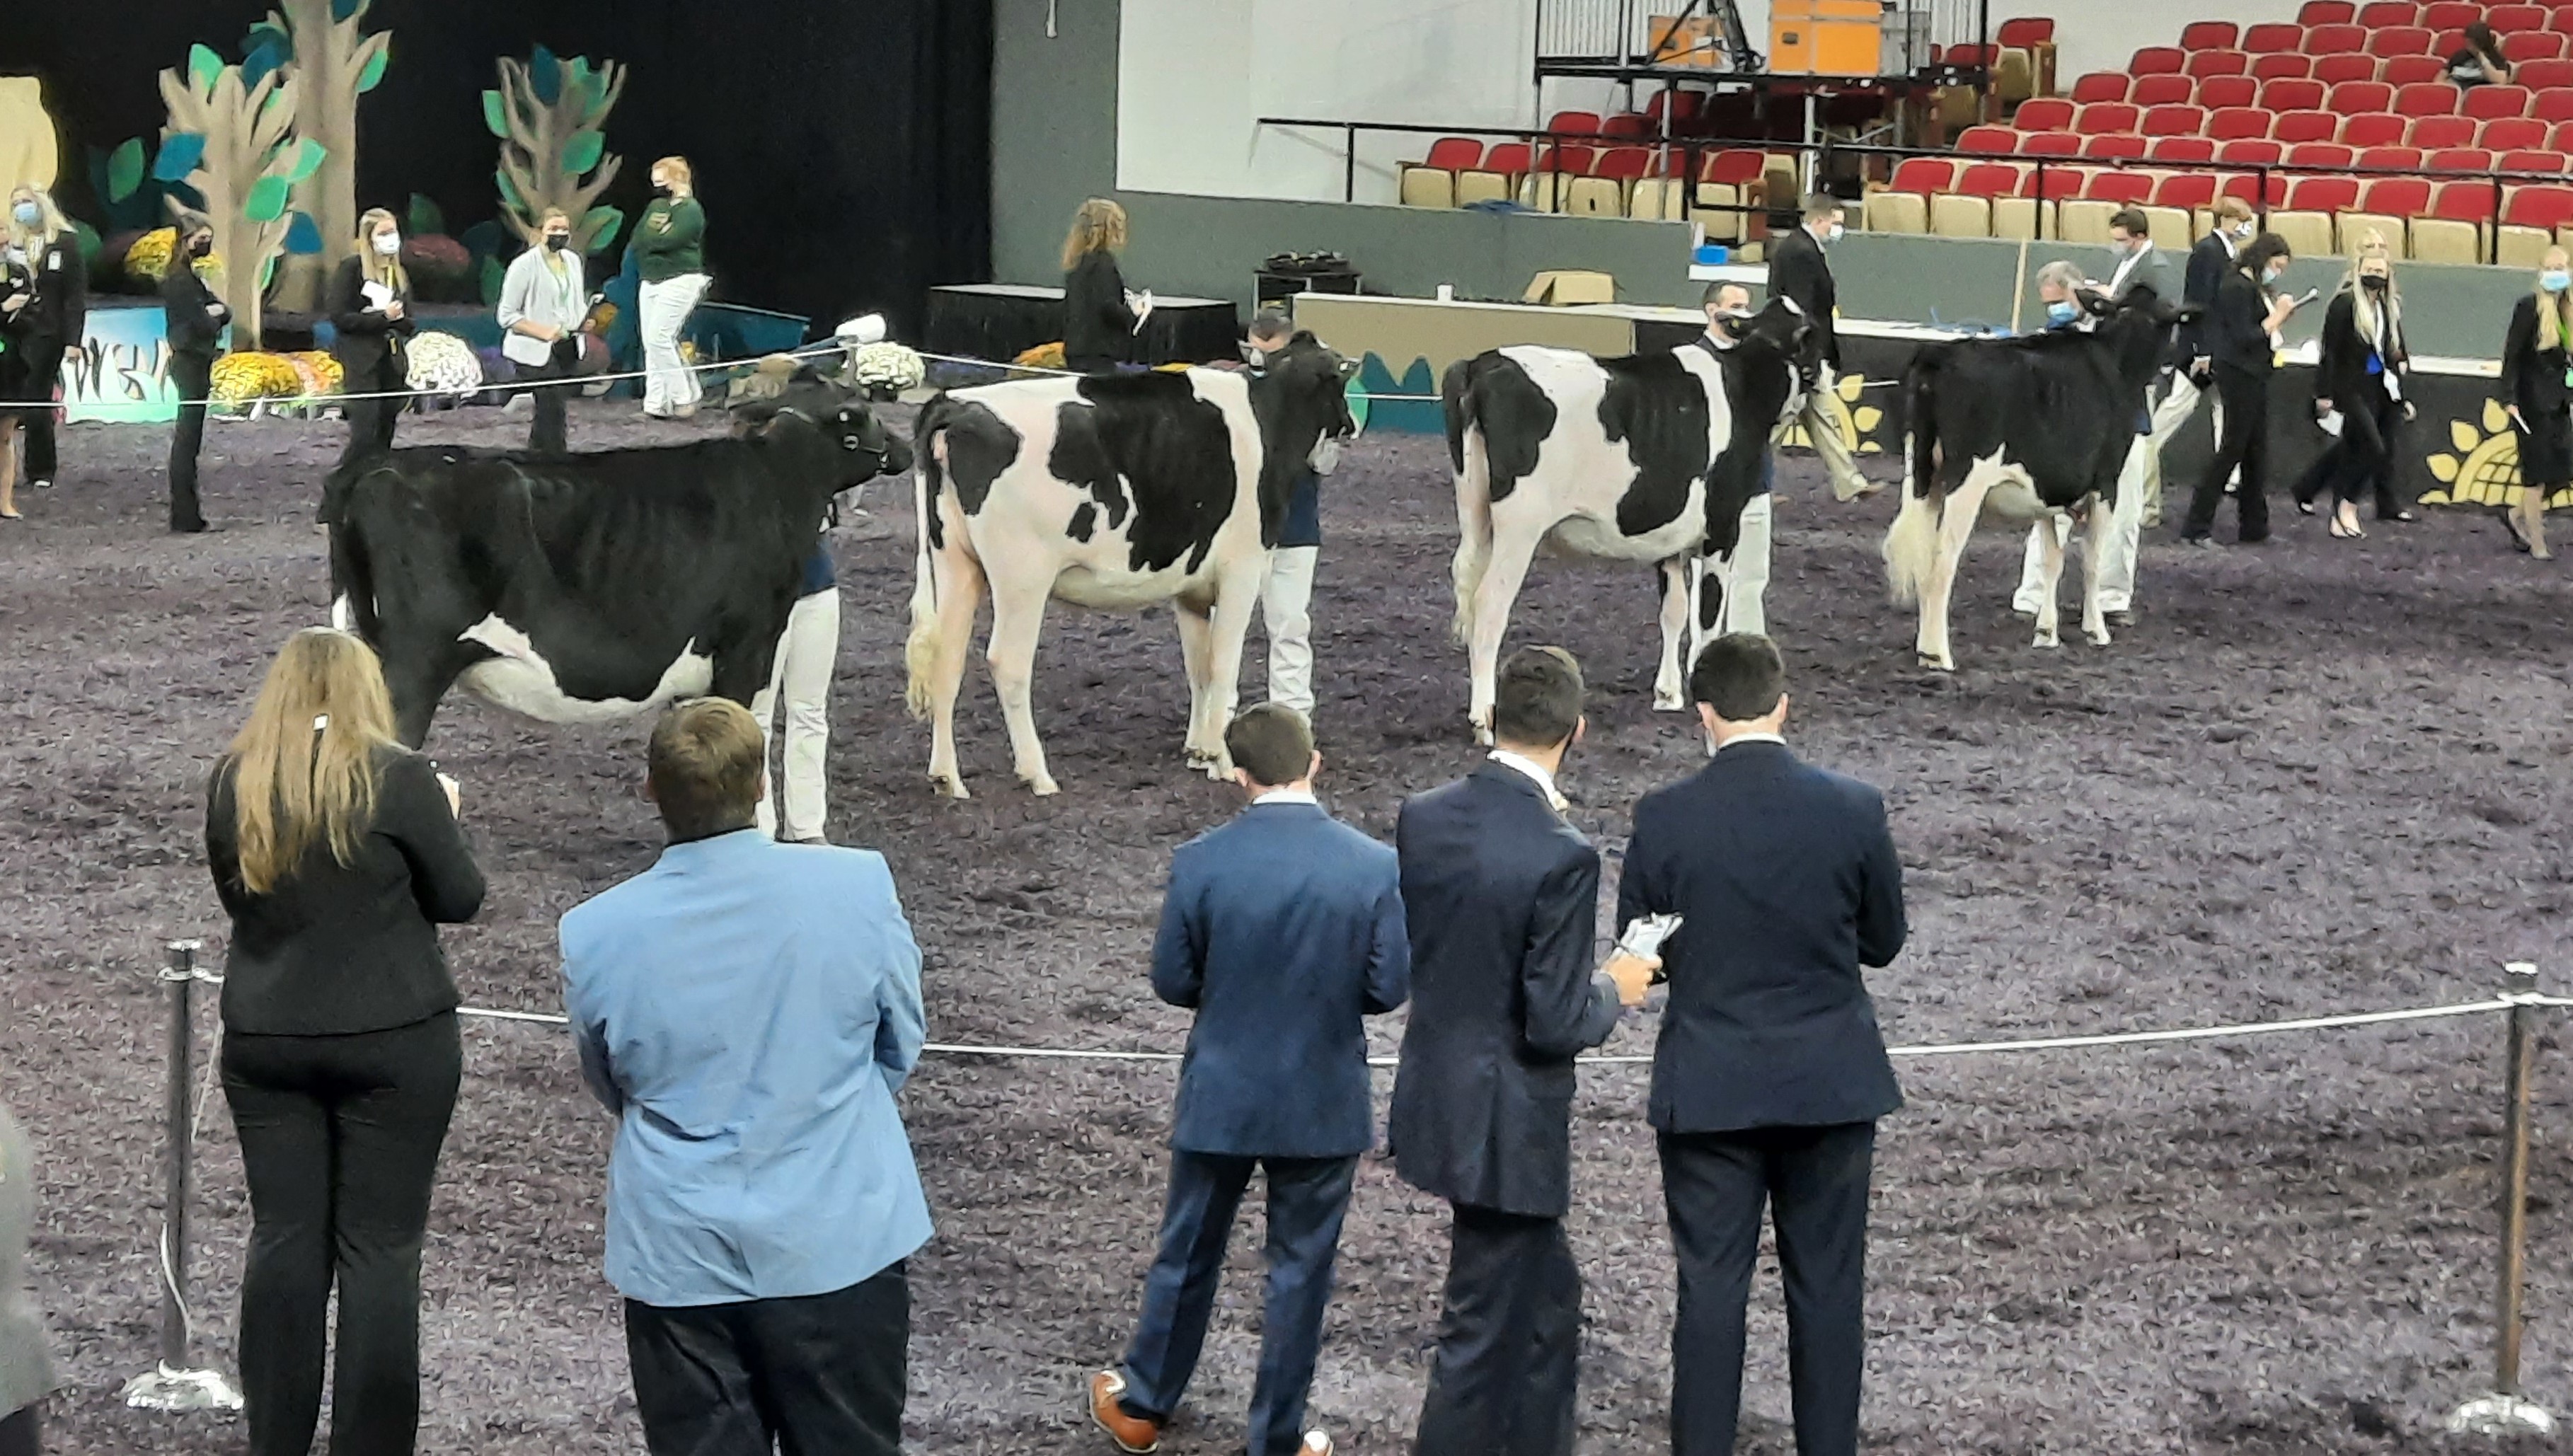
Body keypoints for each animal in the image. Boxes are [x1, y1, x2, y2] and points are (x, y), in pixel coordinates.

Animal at [329, 370, 916, 746]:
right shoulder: (748, 645)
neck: (778, 478)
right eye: (863, 411)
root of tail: (374, 473)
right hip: (414, 665)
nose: (905, 448)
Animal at [905, 334, 1358, 797]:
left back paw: (947, 778)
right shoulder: (1243, 569)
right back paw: (1038, 774)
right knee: (1007, 663)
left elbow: (1198, 667)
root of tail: (955, 404)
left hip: (956, 561)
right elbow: (1223, 665)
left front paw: (1198, 751)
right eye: (1340, 380)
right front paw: (1224, 761)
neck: (1268, 418)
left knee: (946, 660)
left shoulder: (1191, 587)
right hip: (1022, 577)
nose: (1354, 425)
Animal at [1883, 288, 2182, 674]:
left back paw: (1925, 647)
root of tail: (1938, 354)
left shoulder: (2047, 493)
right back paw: (1938, 655)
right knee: (1941, 564)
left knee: (1921, 559)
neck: (2116, 362)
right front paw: (2096, 630)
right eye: (2170, 316)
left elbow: (2052, 561)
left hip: (1921, 475)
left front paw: (2046, 634)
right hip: (1965, 483)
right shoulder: (2106, 484)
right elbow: (2092, 559)